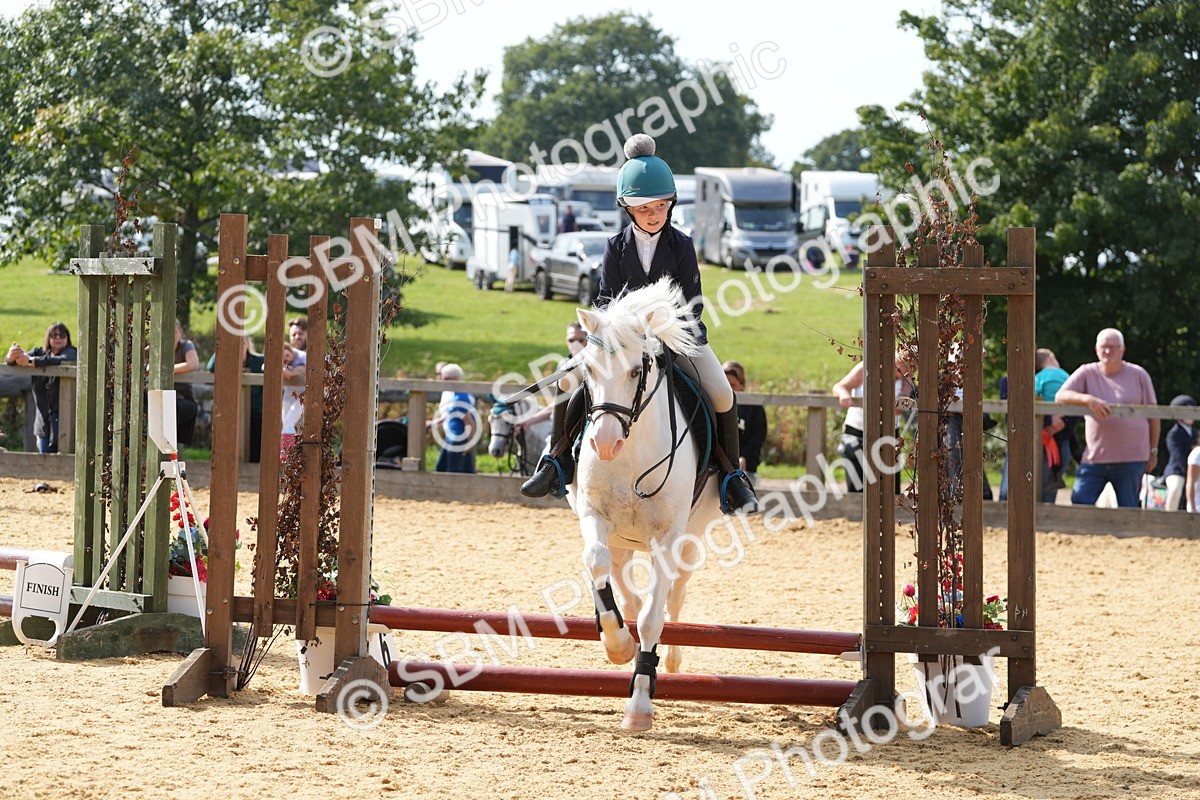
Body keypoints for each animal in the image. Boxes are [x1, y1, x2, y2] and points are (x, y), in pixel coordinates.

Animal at [566, 277, 723, 731]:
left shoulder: (668, 537)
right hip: (622, 537)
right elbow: (596, 563)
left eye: (637, 370)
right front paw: (617, 642)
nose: (604, 444)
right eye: (588, 370)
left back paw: (670, 659)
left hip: (690, 538)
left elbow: (655, 616)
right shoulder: (593, 515)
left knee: (675, 597)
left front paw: (639, 704)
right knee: (619, 576)